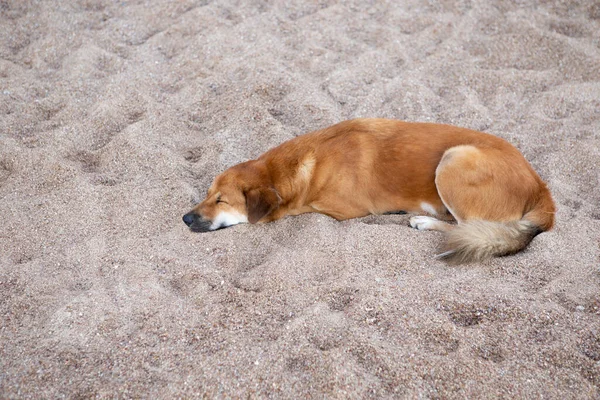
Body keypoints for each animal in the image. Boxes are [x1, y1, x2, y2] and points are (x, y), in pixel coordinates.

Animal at [182, 118, 552, 262]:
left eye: (221, 200)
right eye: (207, 193)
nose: (185, 218)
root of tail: (541, 188)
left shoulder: (333, 209)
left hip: (454, 160)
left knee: (469, 227)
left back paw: (425, 220)